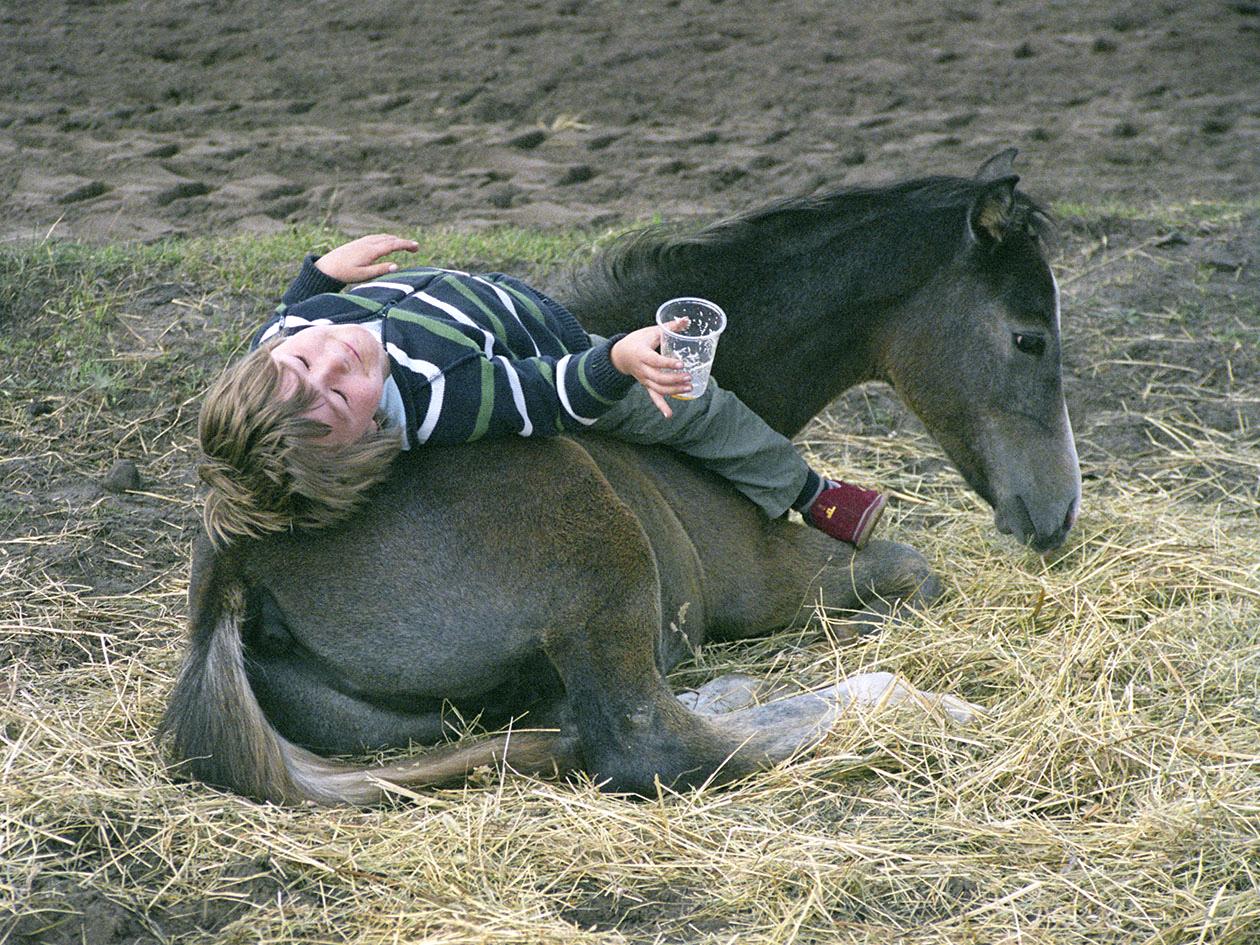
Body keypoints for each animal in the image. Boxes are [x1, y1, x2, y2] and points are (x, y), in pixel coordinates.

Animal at [162, 148, 1078, 806]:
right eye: (1030, 336)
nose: (1058, 511)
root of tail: (236, 554)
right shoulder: (761, 572)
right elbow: (916, 570)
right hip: (600, 561)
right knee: (648, 744)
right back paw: (910, 703)